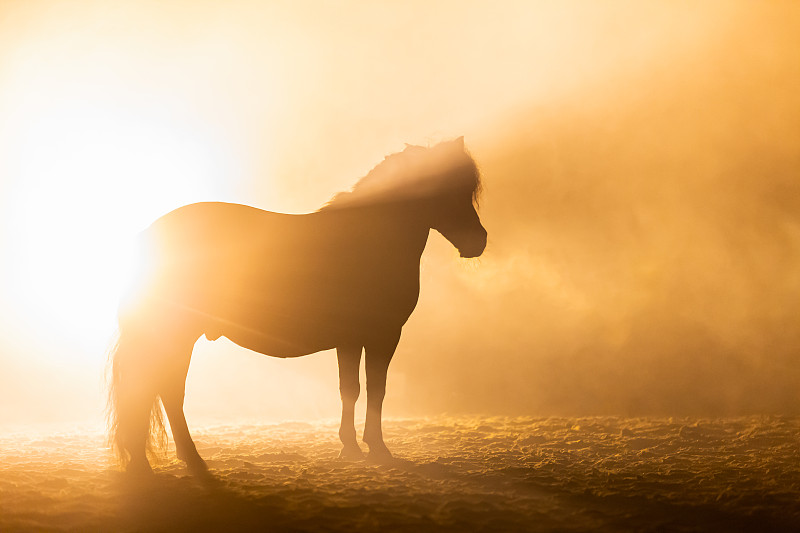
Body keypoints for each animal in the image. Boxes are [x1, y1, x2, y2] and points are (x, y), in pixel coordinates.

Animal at [107, 138, 488, 474]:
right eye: (443, 188)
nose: (478, 241)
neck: (370, 239)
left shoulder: (351, 339)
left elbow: (350, 390)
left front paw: (350, 448)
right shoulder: (383, 335)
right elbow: (375, 390)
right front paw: (377, 448)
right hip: (176, 336)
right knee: (164, 390)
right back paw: (183, 461)